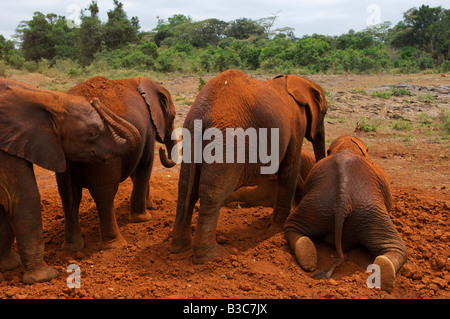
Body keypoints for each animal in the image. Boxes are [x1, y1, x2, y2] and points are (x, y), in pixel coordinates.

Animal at [0, 79, 141, 284]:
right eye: (92, 133)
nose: (95, 100)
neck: (43, 96)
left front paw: (9, 265)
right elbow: (23, 198)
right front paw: (44, 277)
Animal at [58, 77, 179, 252]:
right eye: (174, 116)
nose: (163, 149)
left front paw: (149, 207)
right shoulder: (148, 130)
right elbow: (144, 165)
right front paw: (143, 219)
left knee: (68, 196)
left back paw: (71, 248)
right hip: (102, 154)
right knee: (104, 192)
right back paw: (115, 245)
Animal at [169, 69, 326, 264]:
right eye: (325, 112)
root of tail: (201, 113)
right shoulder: (297, 124)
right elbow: (289, 170)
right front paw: (275, 232)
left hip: (191, 136)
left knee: (186, 188)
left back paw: (179, 248)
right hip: (226, 142)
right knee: (213, 193)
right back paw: (214, 257)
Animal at [284, 136, 408, 294]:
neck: (347, 147)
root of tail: (342, 201)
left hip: (318, 205)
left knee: (293, 227)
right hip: (369, 211)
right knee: (398, 247)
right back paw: (383, 283)